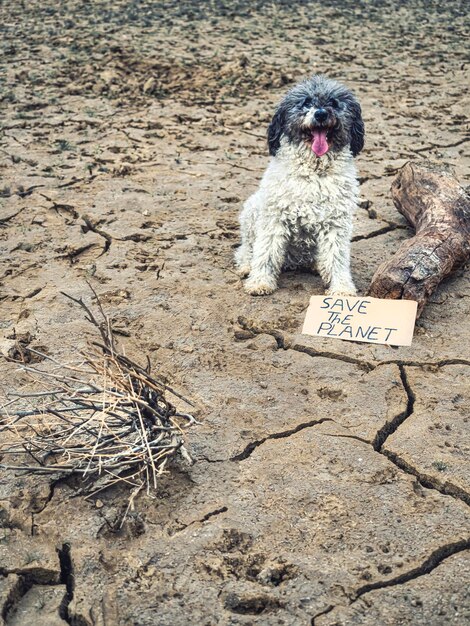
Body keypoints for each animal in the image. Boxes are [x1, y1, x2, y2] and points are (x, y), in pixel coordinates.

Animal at [237, 75, 366, 294]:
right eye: (306, 102)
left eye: (334, 103)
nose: (321, 113)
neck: (313, 172)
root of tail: (293, 261)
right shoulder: (274, 218)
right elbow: (266, 251)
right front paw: (260, 281)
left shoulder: (336, 223)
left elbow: (336, 258)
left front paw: (341, 288)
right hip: (252, 210)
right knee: (246, 248)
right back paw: (246, 266)